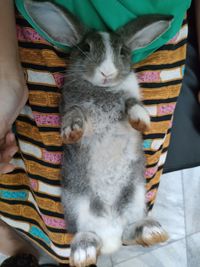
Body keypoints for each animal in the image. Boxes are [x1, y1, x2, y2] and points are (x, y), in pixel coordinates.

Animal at [25, 1, 172, 266]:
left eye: (123, 51)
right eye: (85, 48)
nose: (107, 73)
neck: (102, 90)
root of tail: (110, 233)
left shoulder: (129, 97)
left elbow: (132, 104)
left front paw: (142, 121)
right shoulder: (71, 106)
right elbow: (75, 115)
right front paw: (71, 133)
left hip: (135, 196)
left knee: (130, 231)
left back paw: (152, 232)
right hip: (76, 203)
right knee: (87, 235)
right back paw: (83, 253)